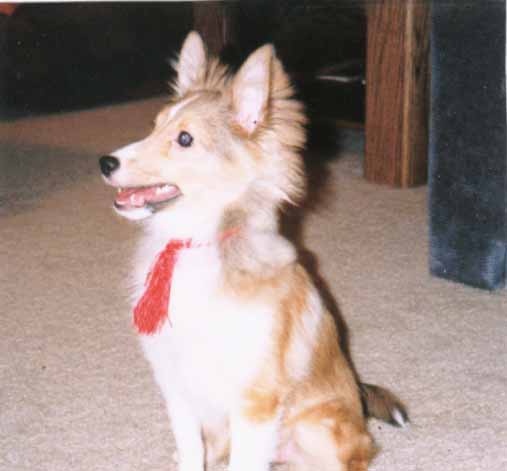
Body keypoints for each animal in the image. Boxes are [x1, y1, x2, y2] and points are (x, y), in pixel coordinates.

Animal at [100, 31, 408, 470]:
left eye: (185, 139)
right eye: (154, 125)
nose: (105, 163)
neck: (197, 244)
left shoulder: (254, 400)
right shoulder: (178, 388)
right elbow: (191, 450)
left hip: (317, 430)